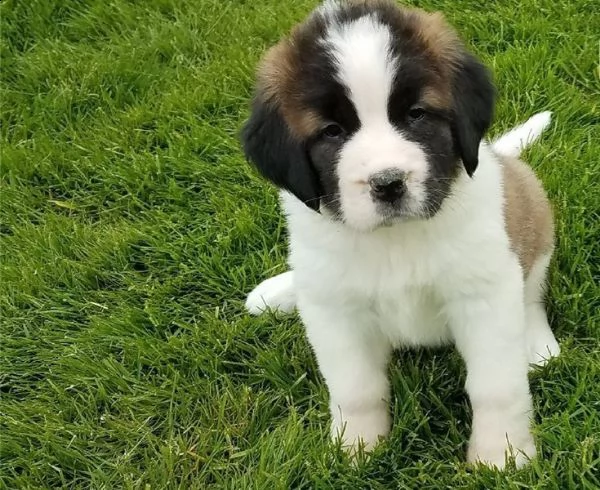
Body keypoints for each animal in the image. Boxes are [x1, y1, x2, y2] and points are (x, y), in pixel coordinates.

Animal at [241, 0, 560, 468]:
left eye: (416, 114)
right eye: (332, 131)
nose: (387, 183)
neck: (395, 240)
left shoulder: (483, 297)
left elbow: (496, 387)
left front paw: (500, 456)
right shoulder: (336, 313)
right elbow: (356, 389)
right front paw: (356, 449)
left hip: (534, 215)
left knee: (531, 294)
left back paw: (537, 344)